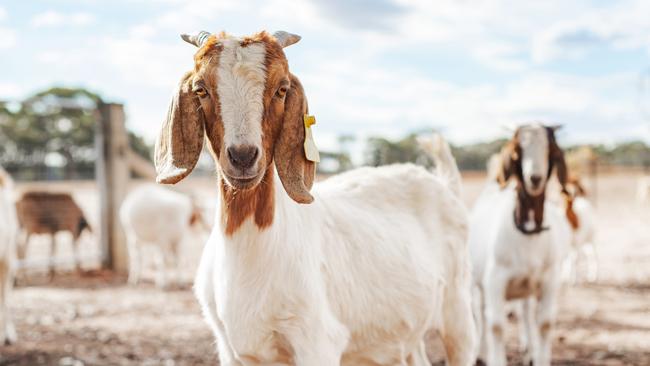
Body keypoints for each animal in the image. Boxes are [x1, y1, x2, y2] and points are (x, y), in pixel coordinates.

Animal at [154, 30, 474, 366]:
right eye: (201, 89)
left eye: (282, 89)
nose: (242, 156)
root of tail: (444, 184)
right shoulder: (232, 349)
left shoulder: (316, 341)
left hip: (458, 311)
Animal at [468, 123, 568, 366]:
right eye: (517, 152)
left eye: (549, 150)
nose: (535, 178)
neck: (528, 230)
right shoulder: (495, 280)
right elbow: (496, 325)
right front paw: (495, 359)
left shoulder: (549, 279)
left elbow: (544, 323)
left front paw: (539, 358)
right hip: (476, 282)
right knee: (481, 312)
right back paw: (480, 352)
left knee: (526, 313)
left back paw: (529, 350)